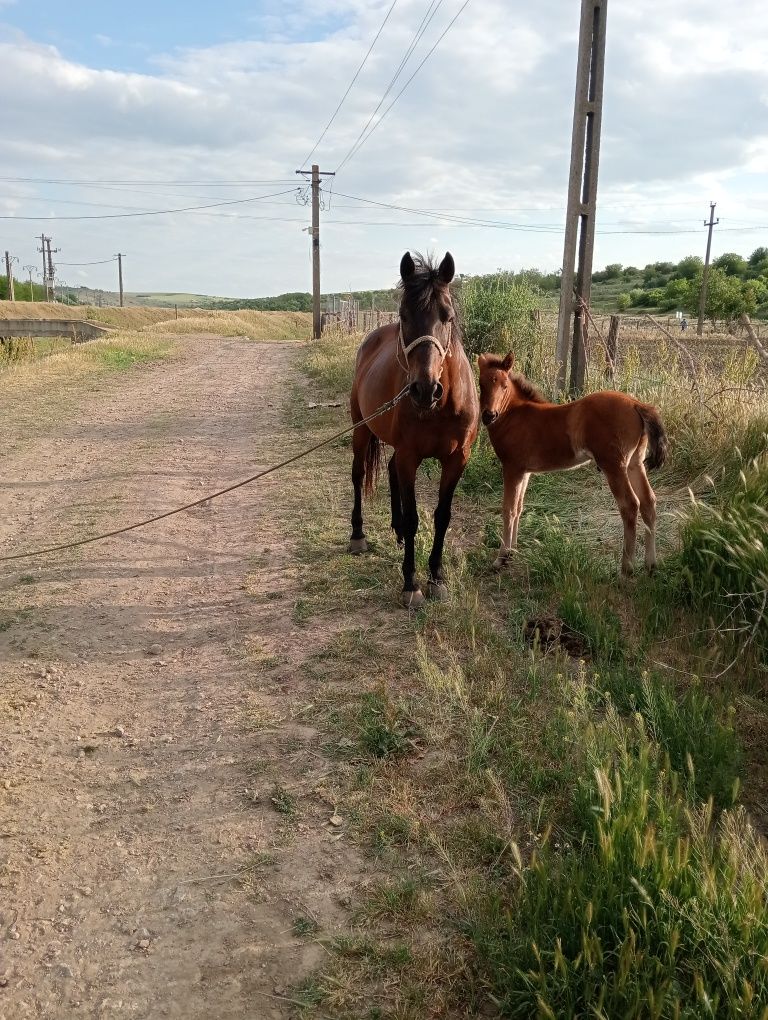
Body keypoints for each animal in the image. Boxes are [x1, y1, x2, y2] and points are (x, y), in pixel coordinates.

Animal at [477, 352, 669, 575]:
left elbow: (507, 509)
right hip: (635, 464)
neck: (515, 415)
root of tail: (636, 404)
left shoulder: (512, 468)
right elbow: (518, 508)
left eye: (504, 385)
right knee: (648, 502)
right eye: (481, 384)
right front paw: (512, 553)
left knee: (630, 505)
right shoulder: (524, 472)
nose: (489, 415)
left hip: (614, 466)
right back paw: (650, 564)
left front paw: (501, 558)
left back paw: (626, 569)